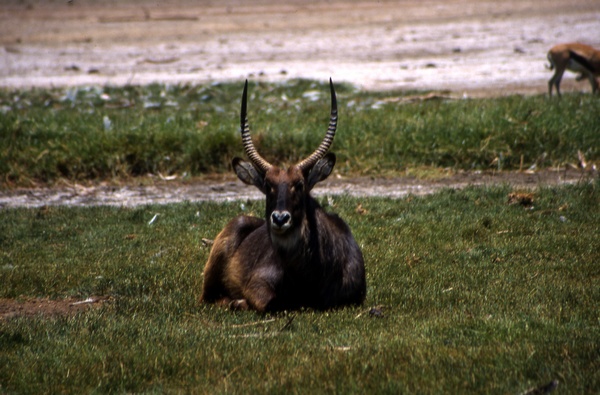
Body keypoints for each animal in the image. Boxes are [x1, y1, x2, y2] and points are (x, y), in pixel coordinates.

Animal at [200, 80, 366, 314]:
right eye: (268, 185)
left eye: (300, 184)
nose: (280, 218)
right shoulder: (257, 284)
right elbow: (268, 304)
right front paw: (239, 302)